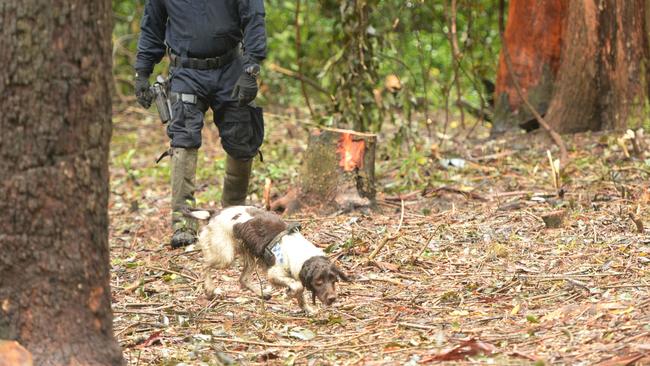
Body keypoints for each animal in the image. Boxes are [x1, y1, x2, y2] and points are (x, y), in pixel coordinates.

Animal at [185, 206, 352, 314]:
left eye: (334, 280)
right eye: (318, 281)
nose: (332, 299)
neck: (300, 253)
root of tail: (214, 213)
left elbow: (300, 292)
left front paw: (307, 309)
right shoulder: (274, 274)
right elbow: (297, 286)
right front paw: (290, 294)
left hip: (248, 255)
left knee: (243, 279)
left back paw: (262, 294)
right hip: (226, 256)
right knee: (204, 265)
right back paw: (210, 289)